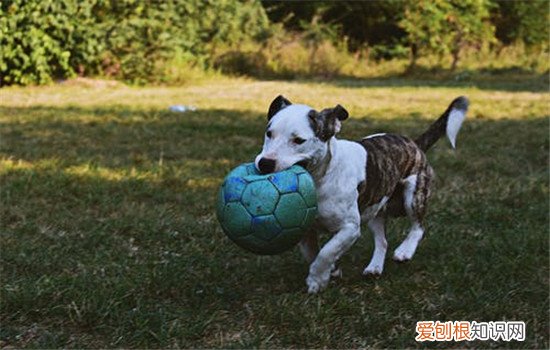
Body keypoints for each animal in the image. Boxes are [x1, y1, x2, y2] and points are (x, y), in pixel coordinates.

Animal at [256, 93, 470, 292]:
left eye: (299, 140)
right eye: (269, 133)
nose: (265, 163)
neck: (320, 178)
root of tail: (414, 144)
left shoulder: (350, 228)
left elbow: (326, 252)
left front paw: (317, 280)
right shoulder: (304, 228)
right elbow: (313, 254)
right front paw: (331, 270)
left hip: (414, 195)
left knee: (418, 226)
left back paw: (405, 251)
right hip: (375, 209)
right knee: (382, 241)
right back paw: (374, 267)